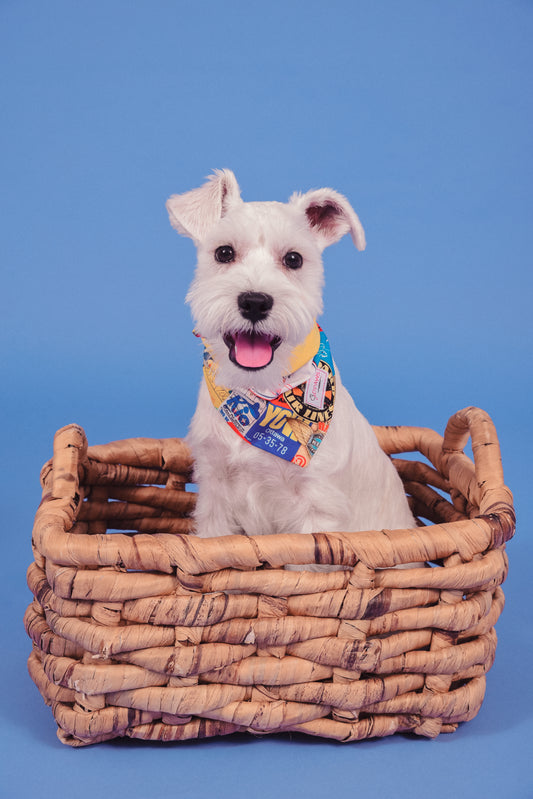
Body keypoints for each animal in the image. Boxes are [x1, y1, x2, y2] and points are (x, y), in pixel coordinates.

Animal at [164, 170, 414, 564]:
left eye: (294, 259)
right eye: (224, 252)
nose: (254, 301)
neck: (263, 394)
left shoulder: (317, 512)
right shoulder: (216, 495)